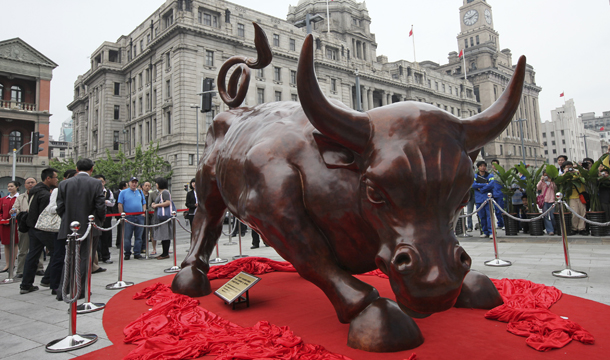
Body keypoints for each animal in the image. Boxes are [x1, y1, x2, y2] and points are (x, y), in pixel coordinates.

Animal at [171, 23, 524, 352]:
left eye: (464, 195)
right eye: (374, 191)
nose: (437, 279)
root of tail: (233, 112)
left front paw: (472, 285)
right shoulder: (268, 209)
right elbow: (314, 257)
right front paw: (374, 312)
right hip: (207, 186)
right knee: (206, 221)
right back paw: (190, 276)